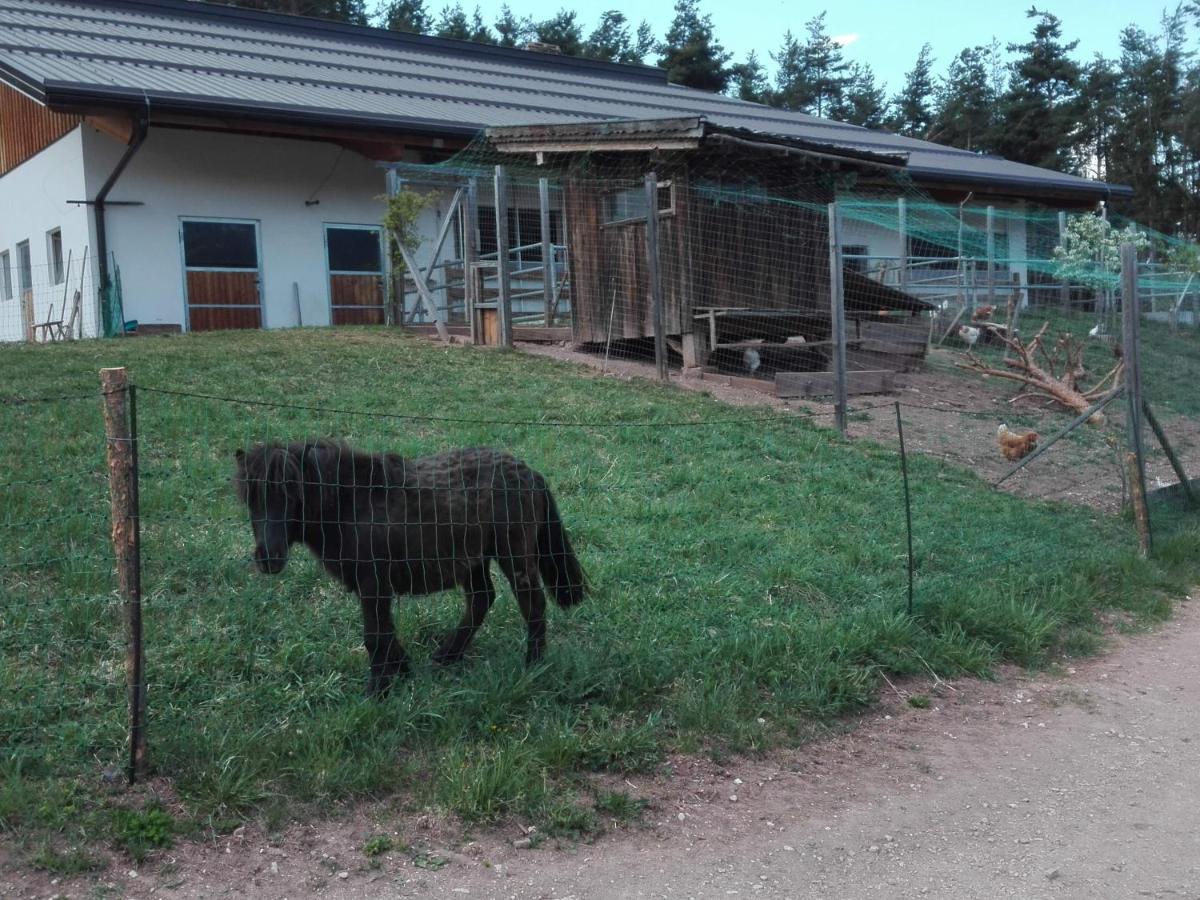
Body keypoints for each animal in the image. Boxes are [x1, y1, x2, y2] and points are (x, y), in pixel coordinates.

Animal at [232, 439, 585, 696]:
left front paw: (377, 691)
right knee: (481, 600)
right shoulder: (375, 587)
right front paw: (402, 669)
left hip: (514, 556)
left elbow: (374, 635)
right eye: (251, 498)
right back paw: (447, 656)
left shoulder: (373, 583)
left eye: (293, 494)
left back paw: (533, 665)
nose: (268, 558)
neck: (352, 504)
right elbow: (385, 630)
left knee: (532, 603)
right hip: (474, 560)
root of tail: (529, 473)